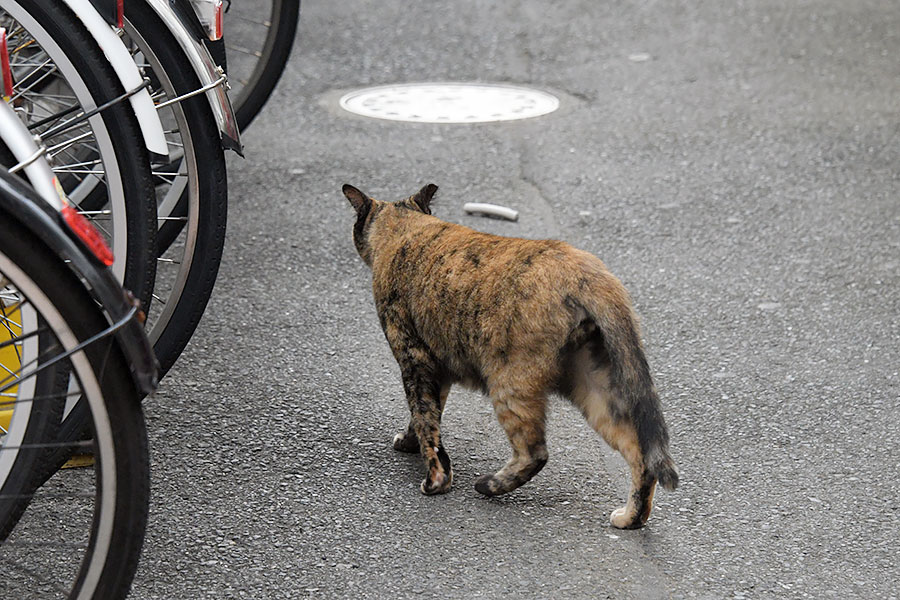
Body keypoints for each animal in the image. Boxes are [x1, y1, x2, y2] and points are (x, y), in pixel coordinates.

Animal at [342, 180, 680, 528]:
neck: (408, 228)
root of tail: (590, 274)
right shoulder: (438, 368)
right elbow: (427, 413)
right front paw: (410, 444)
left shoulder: (414, 357)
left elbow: (425, 420)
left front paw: (436, 480)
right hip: (594, 386)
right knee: (639, 452)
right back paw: (630, 518)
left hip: (509, 384)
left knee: (536, 451)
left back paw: (489, 485)